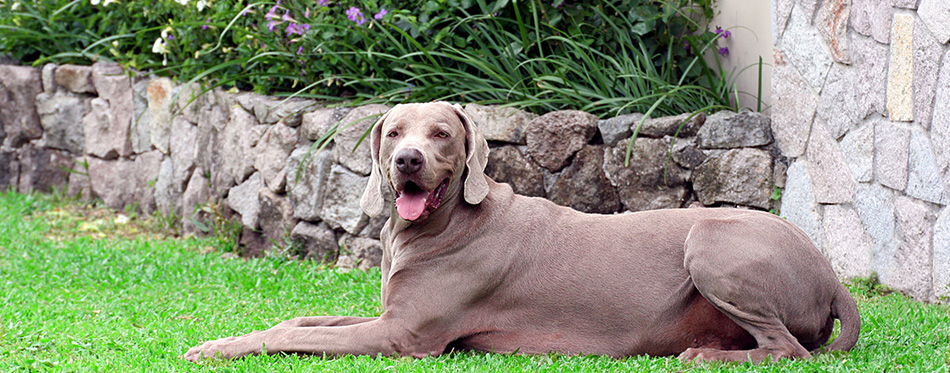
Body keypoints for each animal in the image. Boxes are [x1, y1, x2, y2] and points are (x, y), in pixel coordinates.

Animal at [186, 101, 864, 360]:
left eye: (440, 133)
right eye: (394, 130)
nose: (406, 160)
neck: (442, 226)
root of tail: (831, 273)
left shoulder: (405, 336)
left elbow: (291, 337)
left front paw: (211, 349)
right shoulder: (387, 316)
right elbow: (300, 322)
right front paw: (225, 338)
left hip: (712, 243)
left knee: (789, 349)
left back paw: (703, 357)